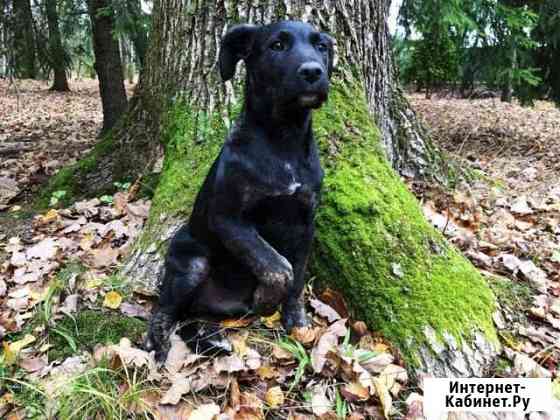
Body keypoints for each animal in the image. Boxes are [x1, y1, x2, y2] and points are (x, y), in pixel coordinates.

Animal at [145, 21, 332, 360]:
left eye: (321, 46)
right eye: (277, 45)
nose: (313, 71)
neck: (282, 141)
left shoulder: (306, 221)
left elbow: (296, 275)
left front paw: (295, 319)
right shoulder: (228, 219)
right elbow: (276, 265)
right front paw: (267, 296)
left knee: (191, 315)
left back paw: (210, 338)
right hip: (192, 264)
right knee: (165, 307)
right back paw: (158, 338)